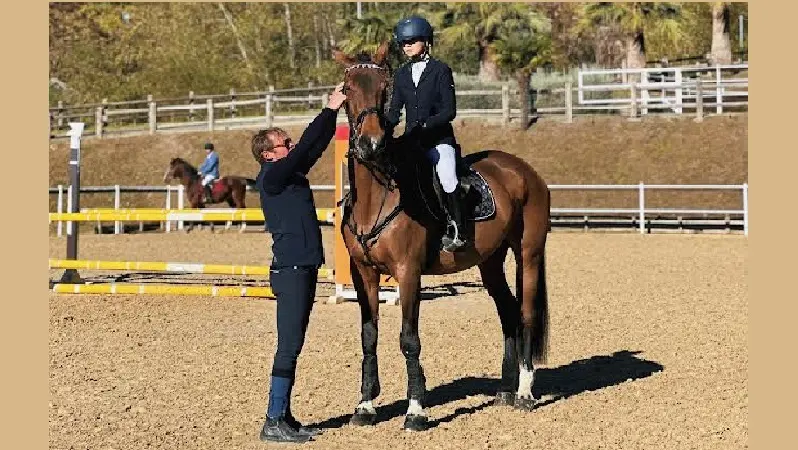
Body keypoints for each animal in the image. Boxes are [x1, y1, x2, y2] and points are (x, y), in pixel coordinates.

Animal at [332, 42, 551, 432]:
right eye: (348, 90)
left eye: (384, 89)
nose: (370, 144)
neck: (378, 195)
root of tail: (522, 169)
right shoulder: (364, 274)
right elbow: (369, 336)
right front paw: (365, 406)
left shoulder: (408, 273)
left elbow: (409, 339)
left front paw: (416, 411)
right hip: (490, 263)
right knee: (508, 313)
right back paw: (505, 390)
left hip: (529, 254)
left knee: (525, 313)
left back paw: (525, 393)